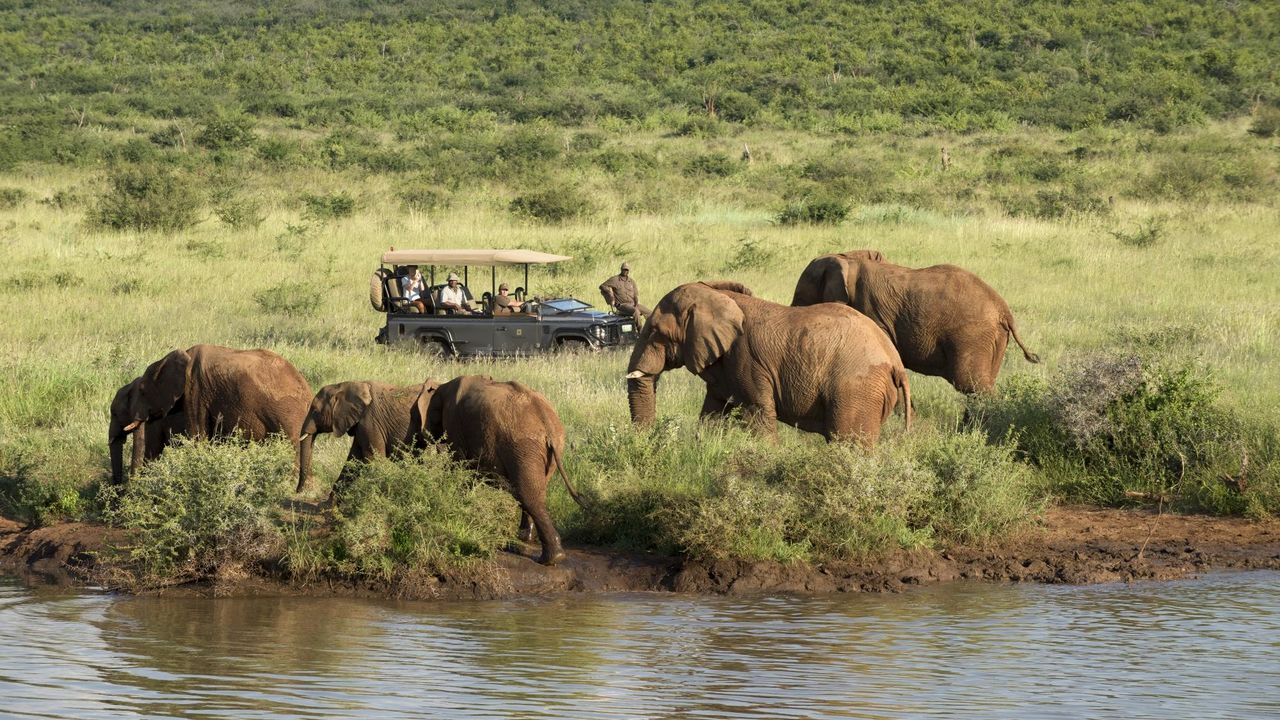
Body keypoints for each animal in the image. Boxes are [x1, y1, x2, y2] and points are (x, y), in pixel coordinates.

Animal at [107, 340, 312, 481]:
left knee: (291, 445)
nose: (120, 487)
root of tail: (307, 391)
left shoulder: (195, 391)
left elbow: (197, 436)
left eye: (142, 391)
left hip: (287, 413)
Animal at [296, 376, 442, 491]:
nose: (298, 491)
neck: (346, 386)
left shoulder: (370, 421)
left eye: (315, 411)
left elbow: (374, 460)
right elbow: (353, 460)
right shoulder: (361, 424)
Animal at [430, 371, 588, 563]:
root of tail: (546, 419)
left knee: (527, 494)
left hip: (523, 445)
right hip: (551, 446)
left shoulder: (454, 423)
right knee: (535, 491)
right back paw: (527, 540)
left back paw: (550, 558)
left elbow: (461, 469)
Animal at [622, 280, 911, 443]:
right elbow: (712, 413)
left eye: (656, 332)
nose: (647, 444)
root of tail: (895, 362)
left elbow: (758, 415)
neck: (716, 296)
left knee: (848, 443)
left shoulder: (746, 361)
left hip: (856, 389)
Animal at [788, 248, 1039, 392]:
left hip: (973, 336)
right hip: (994, 341)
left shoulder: (871, 311)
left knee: (972, 384)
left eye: (800, 298)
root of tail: (1004, 310)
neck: (848, 259)